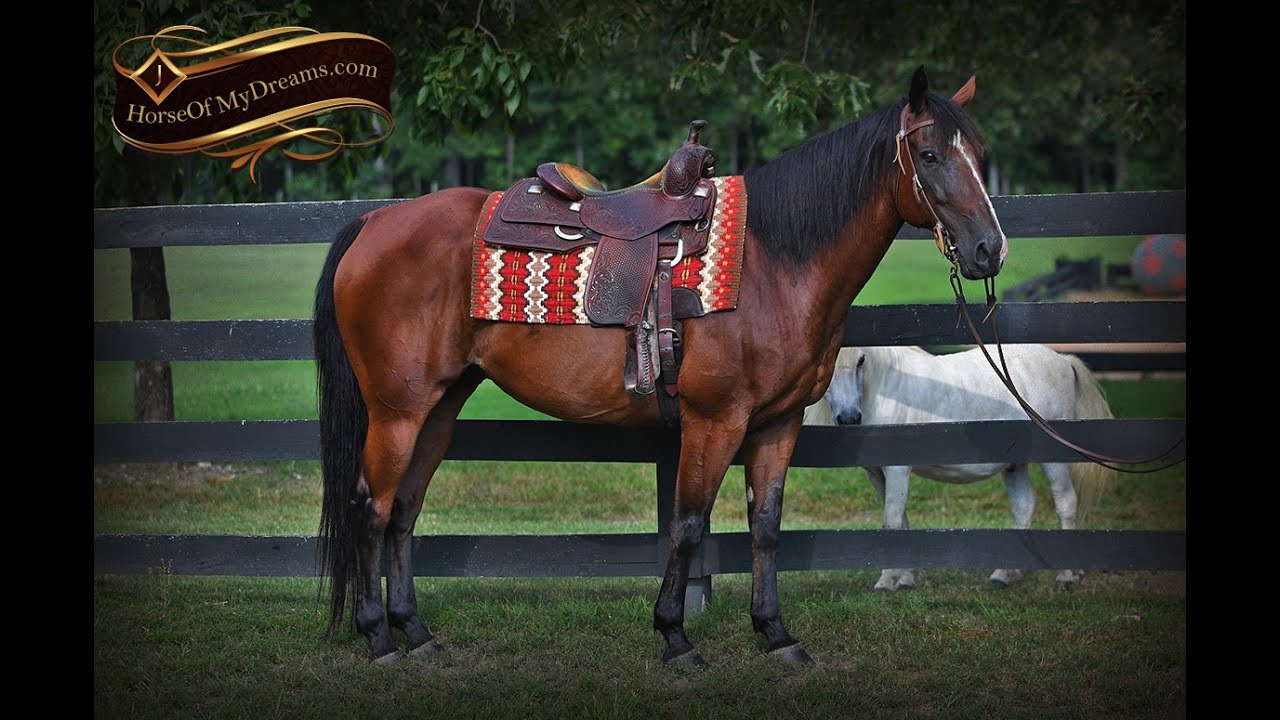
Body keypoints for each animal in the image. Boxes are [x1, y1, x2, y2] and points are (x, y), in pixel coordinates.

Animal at [312, 66, 1007, 668]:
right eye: (929, 156)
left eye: (980, 151)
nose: (988, 251)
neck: (774, 262)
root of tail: (375, 219)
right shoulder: (714, 420)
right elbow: (689, 523)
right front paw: (675, 636)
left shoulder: (778, 424)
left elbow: (765, 526)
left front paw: (776, 634)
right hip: (397, 411)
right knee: (372, 506)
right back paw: (379, 638)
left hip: (439, 406)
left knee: (404, 509)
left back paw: (416, 632)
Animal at [803, 344, 1115, 592]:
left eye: (861, 360)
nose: (849, 418)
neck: (885, 390)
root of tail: (1064, 361)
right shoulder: (877, 474)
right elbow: (902, 522)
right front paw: (905, 578)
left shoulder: (897, 470)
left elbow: (891, 523)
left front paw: (886, 581)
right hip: (1015, 464)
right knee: (1024, 506)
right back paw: (1005, 575)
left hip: (1054, 460)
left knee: (1066, 503)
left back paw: (1066, 576)